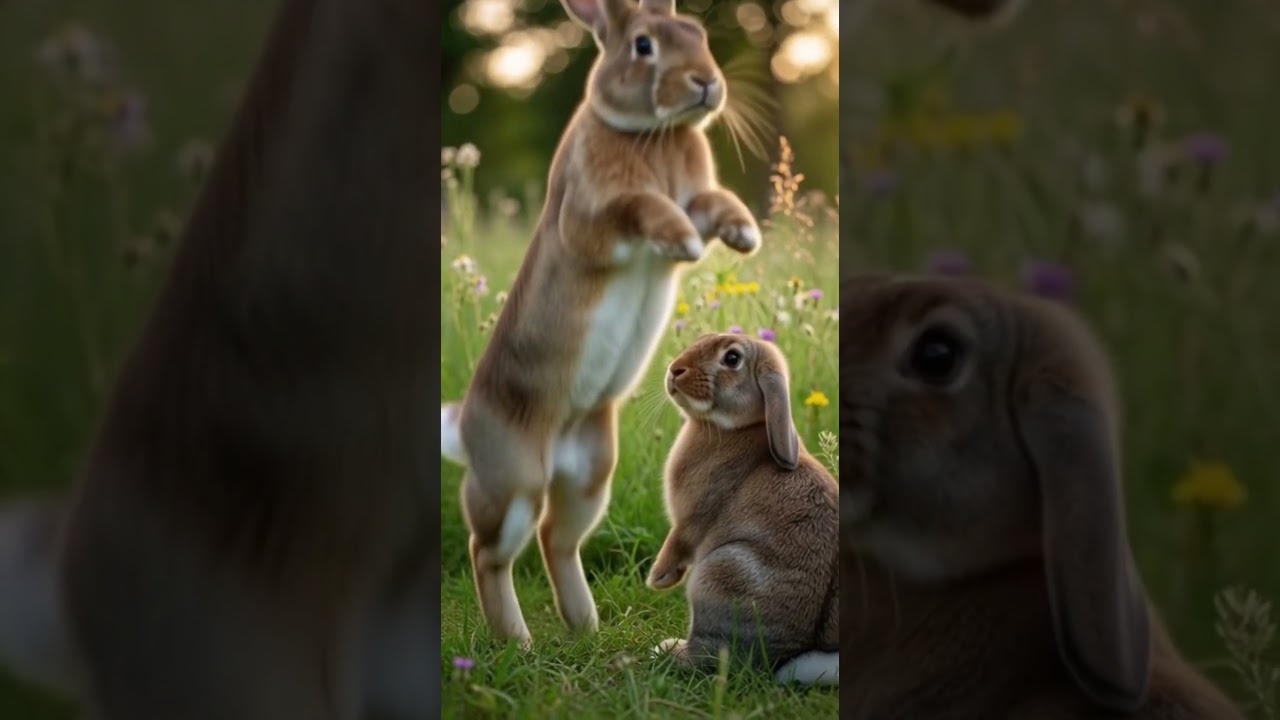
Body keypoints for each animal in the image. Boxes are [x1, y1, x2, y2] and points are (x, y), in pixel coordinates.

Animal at [439, 0, 762, 649]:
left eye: (696, 32)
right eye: (643, 45)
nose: (706, 82)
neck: (653, 133)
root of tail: (464, 428)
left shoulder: (697, 195)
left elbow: (712, 202)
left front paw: (744, 233)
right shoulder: (592, 214)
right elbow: (640, 206)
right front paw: (683, 239)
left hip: (591, 472)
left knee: (557, 540)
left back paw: (583, 626)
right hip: (515, 481)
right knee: (489, 552)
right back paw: (518, 640)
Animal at [646, 334, 839, 686]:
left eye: (732, 359)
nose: (675, 370)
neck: (734, 429)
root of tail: (779, 658)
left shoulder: (691, 518)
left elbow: (677, 542)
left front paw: (657, 579)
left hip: (717, 575)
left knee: (709, 656)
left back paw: (667, 650)